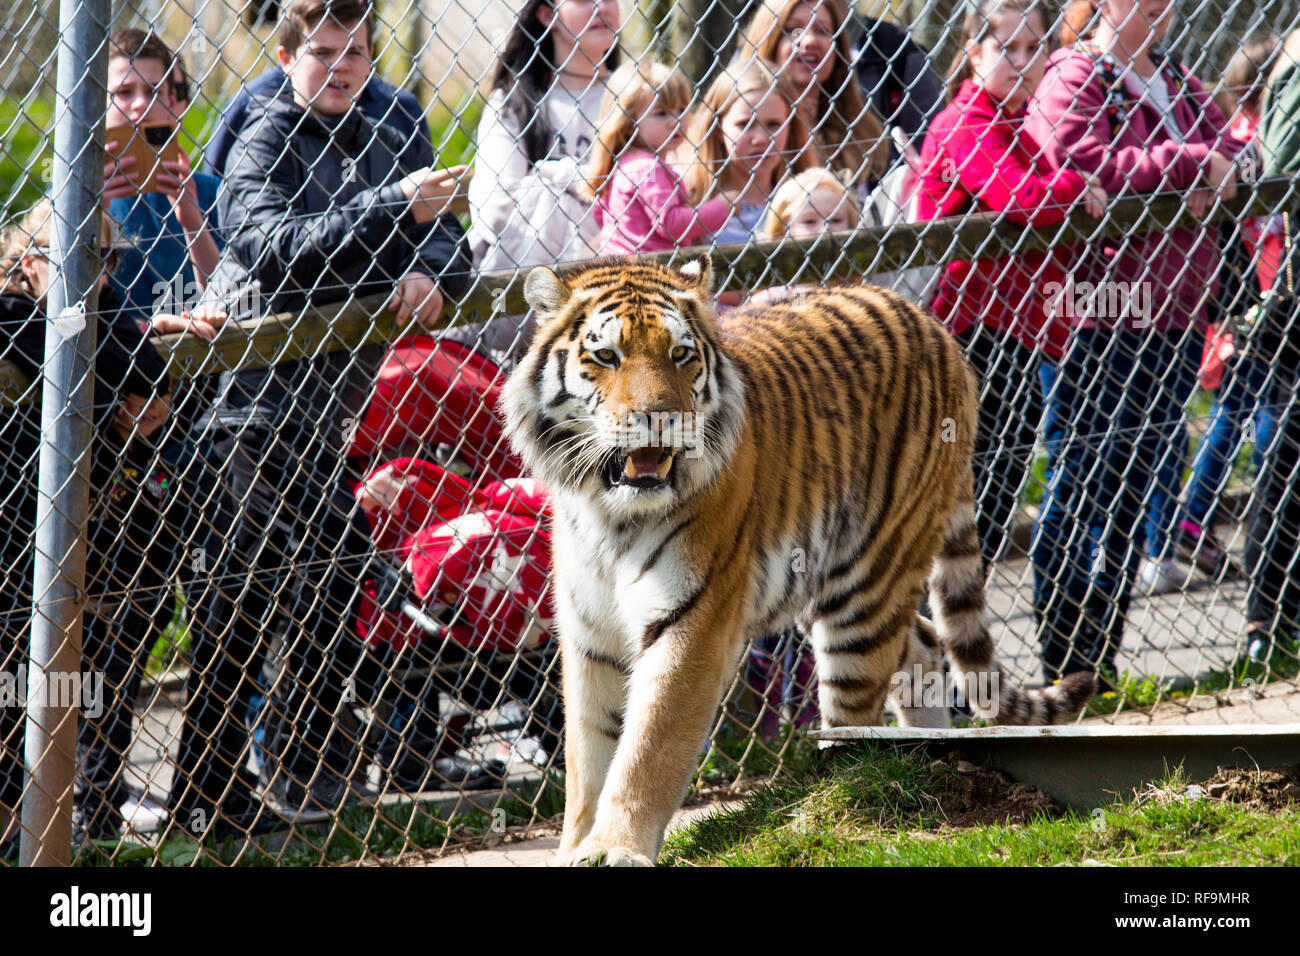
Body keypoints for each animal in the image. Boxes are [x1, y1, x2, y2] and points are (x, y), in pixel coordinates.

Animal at [500, 256, 1096, 866]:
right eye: (606, 357)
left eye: (681, 354)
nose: (661, 419)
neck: (608, 512)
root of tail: (933, 326)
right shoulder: (590, 635)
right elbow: (587, 760)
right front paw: (576, 847)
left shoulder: (691, 621)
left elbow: (648, 747)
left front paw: (615, 848)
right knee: (925, 641)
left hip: (866, 586)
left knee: (859, 715)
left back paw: (836, 800)